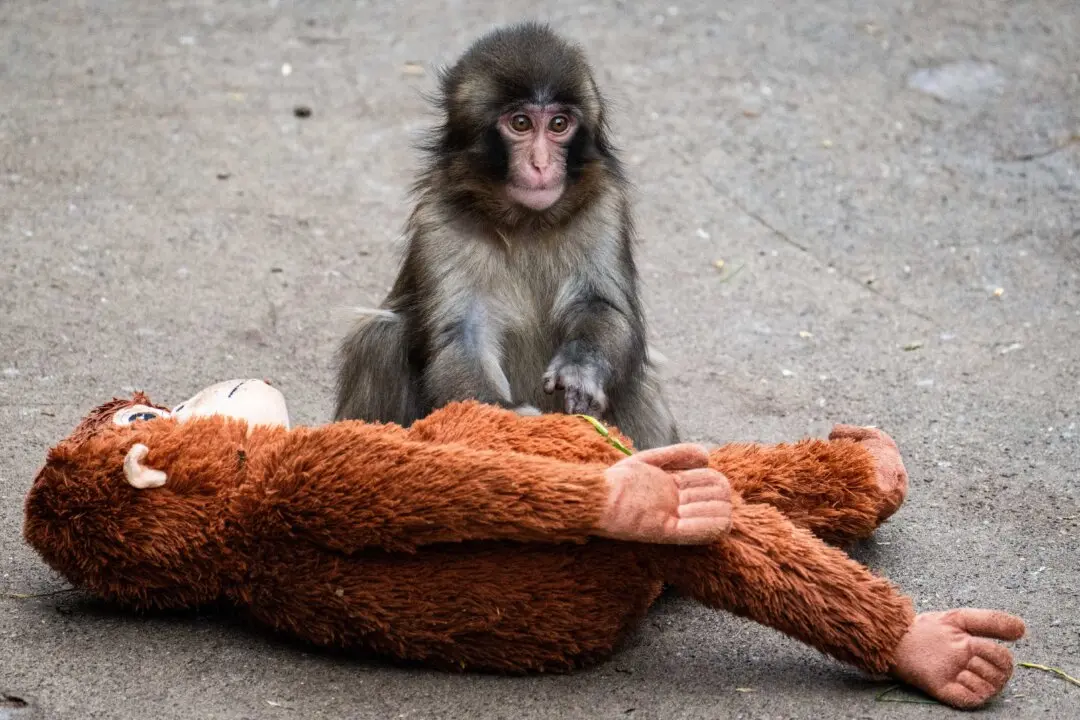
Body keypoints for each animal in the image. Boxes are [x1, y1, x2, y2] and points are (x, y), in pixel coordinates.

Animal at [334, 22, 679, 450]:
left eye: (559, 125)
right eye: (520, 124)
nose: (541, 164)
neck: (527, 222)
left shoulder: (604, 208)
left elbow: (602, 305)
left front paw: (581, 367)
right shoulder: (439, 221)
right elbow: (464, 334)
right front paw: (507, 418)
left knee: (635, 380)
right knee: (380, 338)